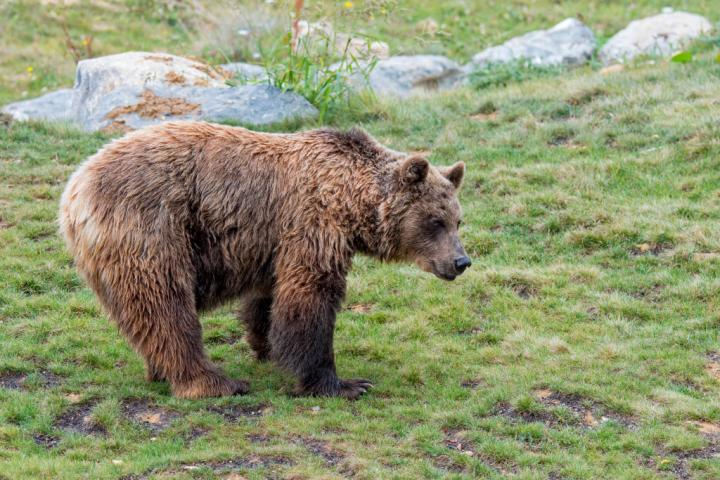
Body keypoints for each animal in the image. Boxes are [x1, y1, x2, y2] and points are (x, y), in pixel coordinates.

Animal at [59, 121, 470, 399]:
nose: (461, 261)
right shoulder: (312, 226)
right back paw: (213, 382)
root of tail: (75, 189)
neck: (350, 202)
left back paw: (161, 371)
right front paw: (343, 383)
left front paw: (267, 346)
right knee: (166, 307)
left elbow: (268, 298)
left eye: (457, 219)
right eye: (435, 221)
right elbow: (310, 299)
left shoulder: (272, 242)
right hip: (153, 228)